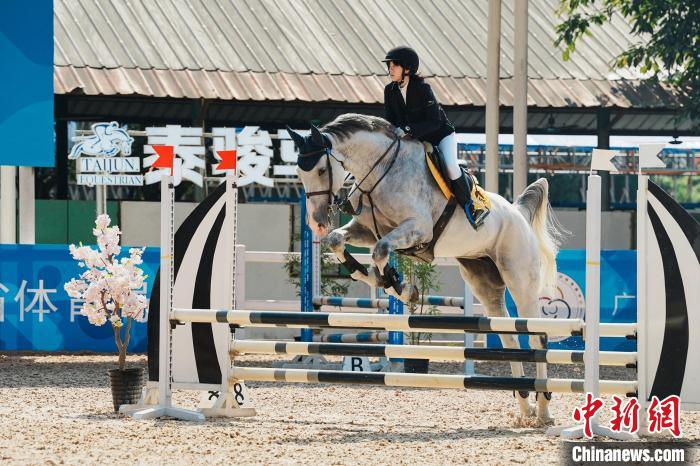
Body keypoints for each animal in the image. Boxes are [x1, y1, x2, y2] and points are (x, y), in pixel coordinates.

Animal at [288, 113, 566, 424]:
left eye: (322, 169)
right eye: (299, 172)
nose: (316, 223)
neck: (381, 171)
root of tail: (517, 213)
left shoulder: (417, 229)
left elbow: (381, 250)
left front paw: (400, 287)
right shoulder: (366, 230)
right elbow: (340, 240)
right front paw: (377, 278)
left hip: (520, 280)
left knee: (538, 338)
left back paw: (543, 411)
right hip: (484, 282)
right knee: (509, 338)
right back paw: (525, 406)